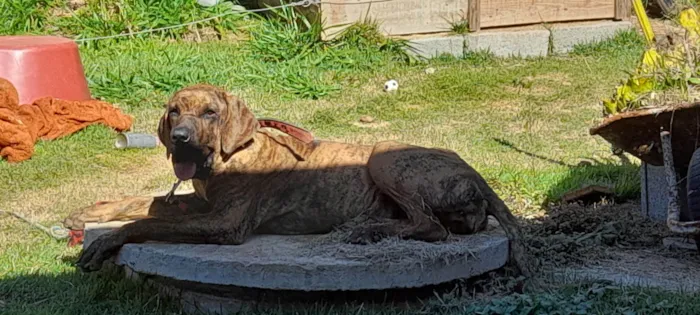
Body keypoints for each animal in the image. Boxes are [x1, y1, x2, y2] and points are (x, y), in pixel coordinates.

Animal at [68, 83, 532, 276]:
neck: (232, 154)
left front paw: (108, 239)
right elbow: (146, 202)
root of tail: (474, 172)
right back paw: (368, 224)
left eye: (210, 113)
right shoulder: (201, 202)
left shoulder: (224, 223)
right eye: (174, 112)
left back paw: (368, 231)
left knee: (431, 227)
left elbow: (148, 221)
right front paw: (91, 212)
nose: (179, 140)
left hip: (384, 152)